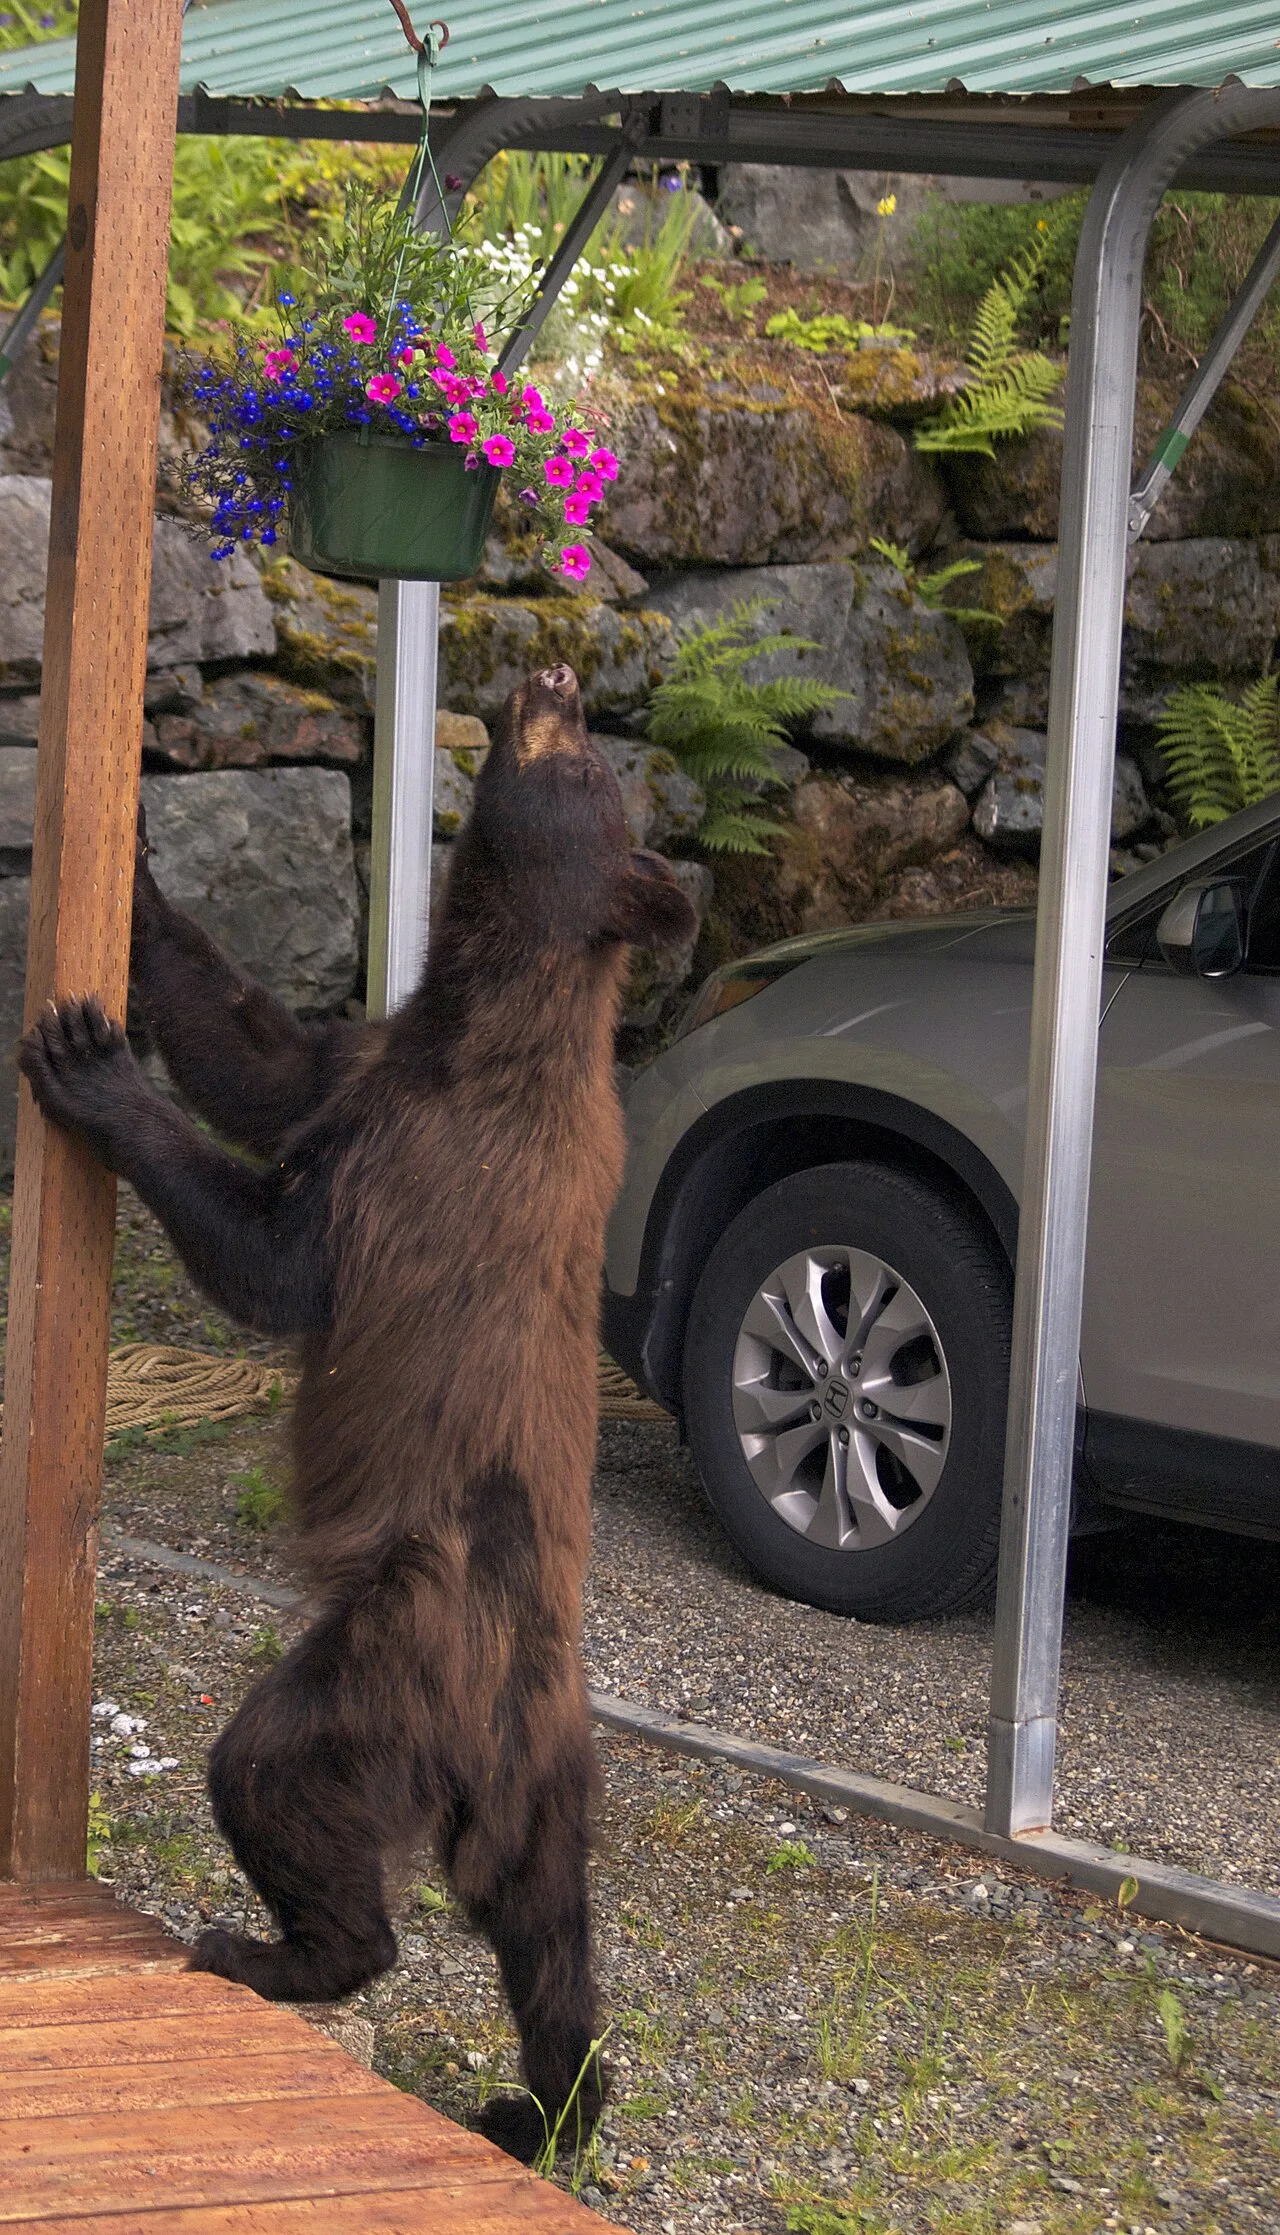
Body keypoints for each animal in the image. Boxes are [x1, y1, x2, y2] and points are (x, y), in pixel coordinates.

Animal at [19, 660, 697, 2160]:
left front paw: (91, 1066)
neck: (484, 1015)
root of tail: (504, 1719)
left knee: (271, 1772)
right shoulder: (370, 1057)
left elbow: (274, 1253)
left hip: (386, 1661)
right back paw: (545, 2101)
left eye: (586, 769)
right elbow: (257, 1048)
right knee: (549, 1936)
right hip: (547, 1788)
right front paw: (134, 842)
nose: (557, 675)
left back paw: (277, 1951)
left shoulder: (418, 1166)